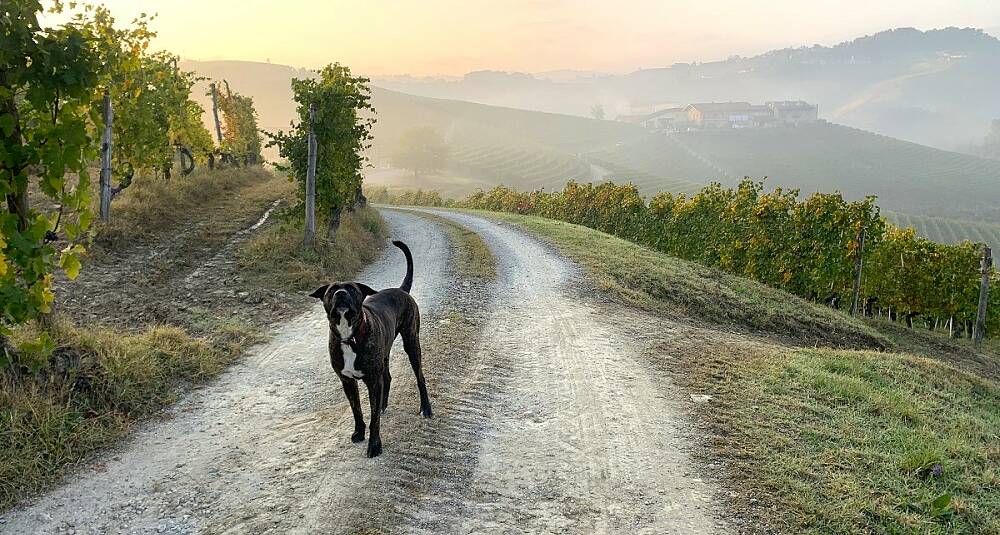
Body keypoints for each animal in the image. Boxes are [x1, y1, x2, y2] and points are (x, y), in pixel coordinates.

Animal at [308, 241, 434, 458]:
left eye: (352, 288)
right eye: (331, 290)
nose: (341, 294)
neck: (349, 336)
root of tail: (401, 290)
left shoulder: (373, 381)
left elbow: (374, 419)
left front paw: (374, 445)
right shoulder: (348, 381)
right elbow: (356, 410)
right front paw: (359, 432)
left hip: (412, 344)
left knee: (420, 377)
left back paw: (426, 408)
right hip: (385, 354)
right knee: (388, 377)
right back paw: (383, 404)